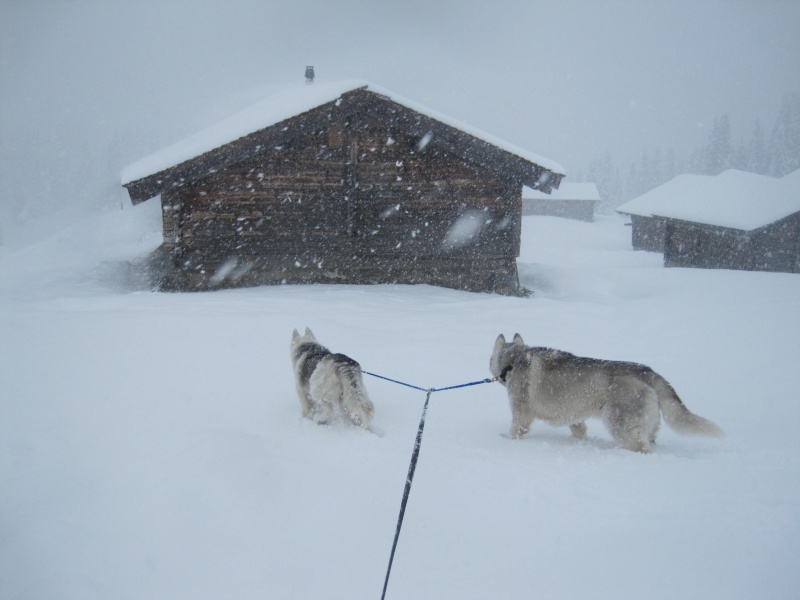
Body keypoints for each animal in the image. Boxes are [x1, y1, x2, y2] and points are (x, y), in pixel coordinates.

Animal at [490, 332, 720, 450]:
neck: (514, 360)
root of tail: (648, 371)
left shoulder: (521, 413)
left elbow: (516, 430)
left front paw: (504, 439)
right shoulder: (574, 416)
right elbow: (579, 430)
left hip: (620, 425)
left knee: (641, 447)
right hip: (647, 425)